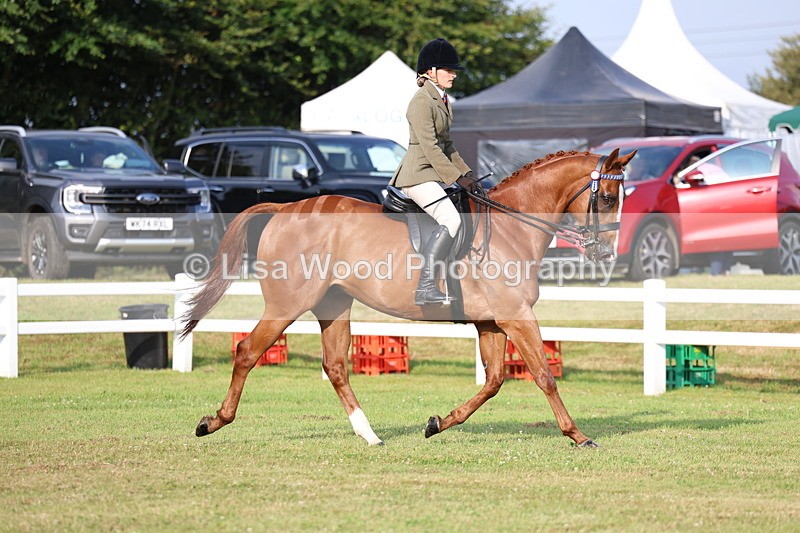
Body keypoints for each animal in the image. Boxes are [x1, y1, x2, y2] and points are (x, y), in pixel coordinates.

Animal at [181, 148, 635, 447]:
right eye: (607, 198)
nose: (606, 254)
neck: (513, 227)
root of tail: (282, 208)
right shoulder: (516, 316)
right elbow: (543, 376)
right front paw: (577, 435)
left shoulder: (491, 322)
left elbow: (492, 382)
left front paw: (437, 423)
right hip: (285, 306)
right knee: (246, 352)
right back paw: (213, 422)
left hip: (333, 305)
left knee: (336, 367)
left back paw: (369, 435)